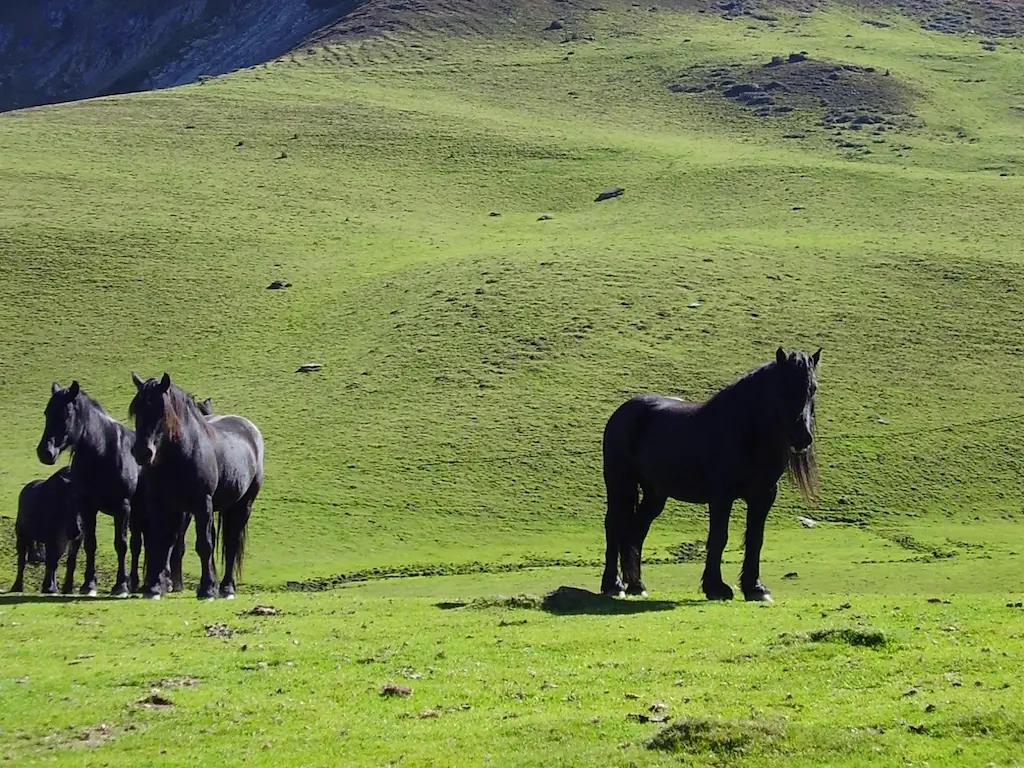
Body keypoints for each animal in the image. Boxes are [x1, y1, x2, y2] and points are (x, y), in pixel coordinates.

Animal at [37, 382, 140, 598]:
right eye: (47, 413)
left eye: (65, 414)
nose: (45, 452)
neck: (103, 452)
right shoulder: (87, 507)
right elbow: (90, 544)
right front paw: (89, 585)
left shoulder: (122, 508)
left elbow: (121, 544)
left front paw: (120, 586)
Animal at [130, 372, 264, 602]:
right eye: (137, 409)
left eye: (161, 409)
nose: (142, 452)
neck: (179, 457)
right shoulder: (161, 505)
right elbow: (159, 543)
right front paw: (153, 587)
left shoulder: (202, 505)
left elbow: (204, 545)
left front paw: (207, 589)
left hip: (243, 505)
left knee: (232, 543)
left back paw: (227, 587)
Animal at [602, 346, 819, 606]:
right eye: (781, 387)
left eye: (813, 388)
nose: (801, 438)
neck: (745, 430)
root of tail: (622, 412)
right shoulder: (721, 497)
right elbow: (718, 537)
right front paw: (715, 587)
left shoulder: (763, 497)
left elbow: (755, 539)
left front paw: (755, 588)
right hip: (620, 484)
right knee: (614, 526)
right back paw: (613, 586)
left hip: (655, 495)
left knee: (636, 531)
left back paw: (636, 585)